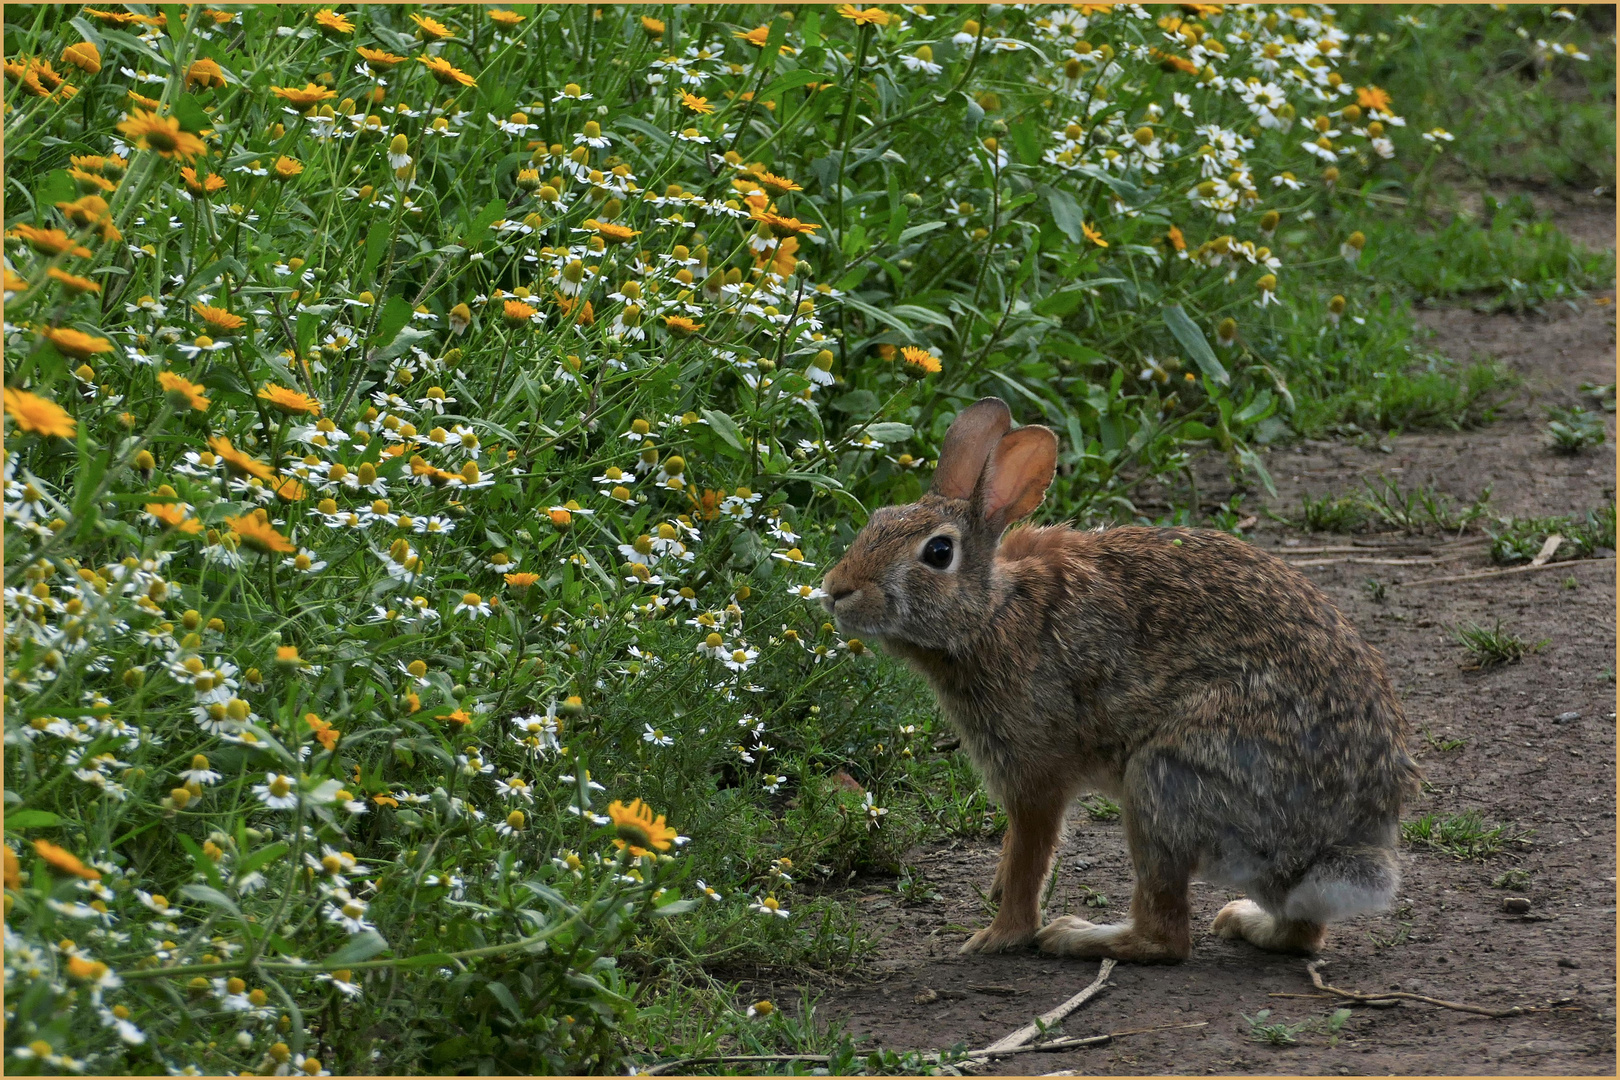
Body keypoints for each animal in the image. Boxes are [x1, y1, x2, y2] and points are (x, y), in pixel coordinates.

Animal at [822, 396, 1419, 965]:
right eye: (878, 519)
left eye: (938, 552)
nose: (835, 590)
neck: (994, 611)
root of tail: (1343, 838)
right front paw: (994, 892)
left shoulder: (1034, 769)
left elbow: (1031, 855)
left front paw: (998, 934)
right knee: (1300, 932)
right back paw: (1242, 922)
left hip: (1165, 779)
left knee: (1167, 937)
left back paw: (1077, 936)